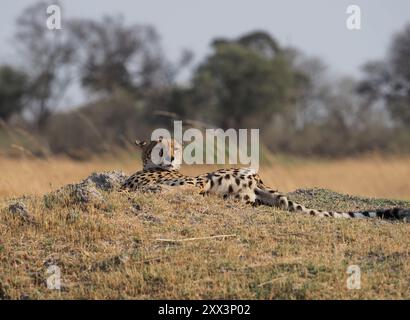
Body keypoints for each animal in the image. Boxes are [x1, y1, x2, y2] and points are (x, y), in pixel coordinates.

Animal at [121, 136, 410, 221]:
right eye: (161, 147)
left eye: (176, 148)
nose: (171, 158)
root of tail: (257, 177)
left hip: (214, 176)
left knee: (197, 186)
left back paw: (156, 192)